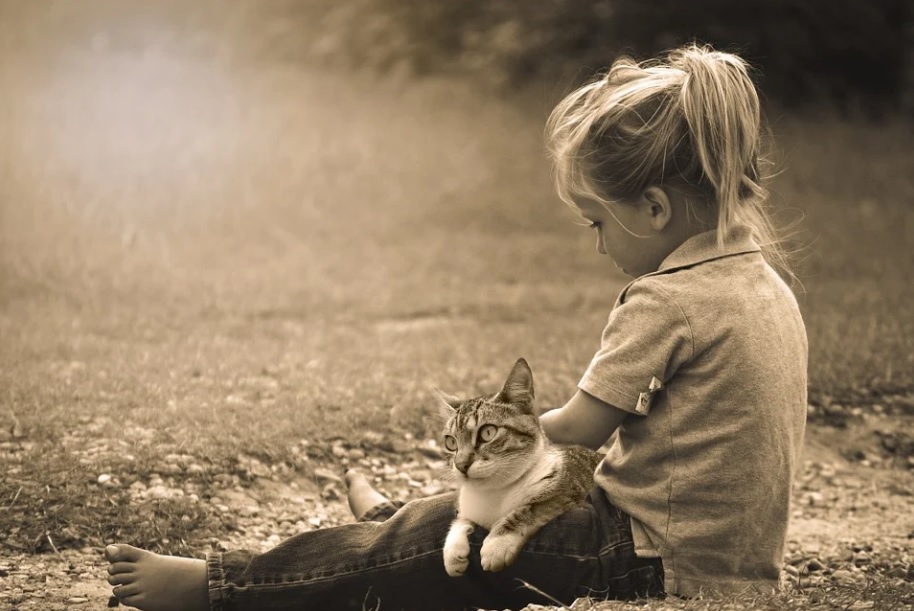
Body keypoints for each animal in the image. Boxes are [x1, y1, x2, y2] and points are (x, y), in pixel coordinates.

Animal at [438, 356, 604, 576]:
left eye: (488, 432)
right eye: (451, 443)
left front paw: (497, 544)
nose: (461, 465)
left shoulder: (570, 494)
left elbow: (527, 509)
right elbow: (461, 519)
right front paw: (453, 551)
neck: (495, 492)